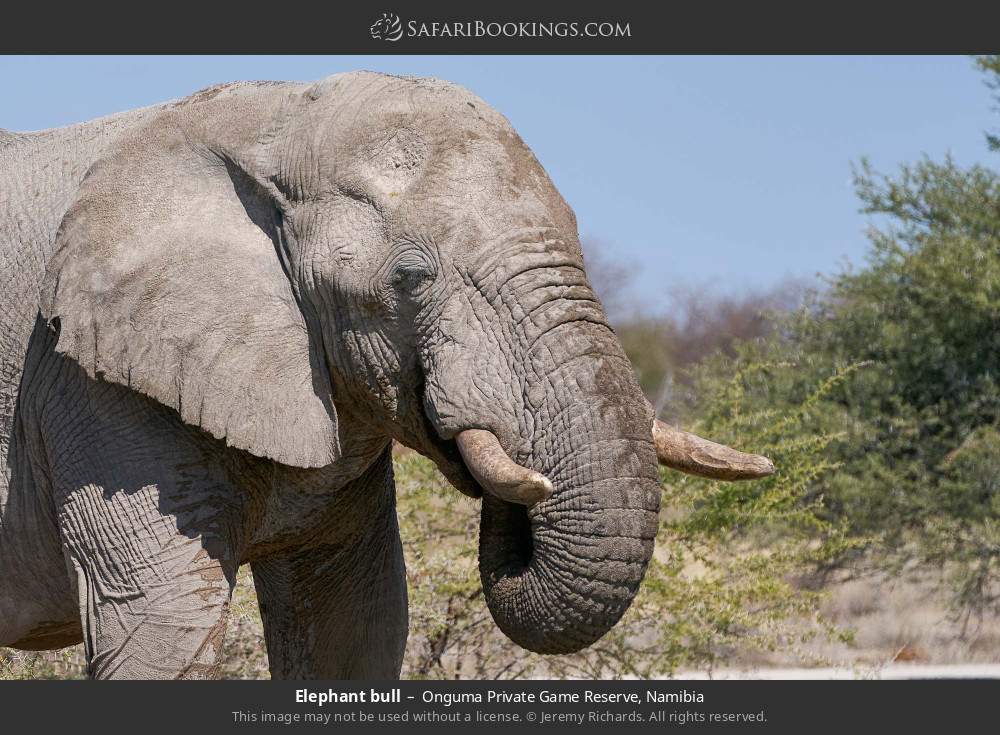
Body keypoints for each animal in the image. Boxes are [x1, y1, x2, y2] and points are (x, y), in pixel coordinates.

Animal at [0, 72, 772, 680]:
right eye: (411, 278)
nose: (528, 488)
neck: (276, 119)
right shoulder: (88, 383)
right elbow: (162, 625)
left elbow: (356, 626)